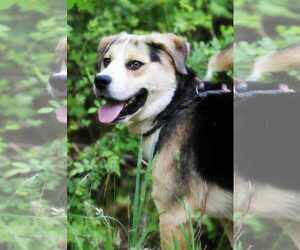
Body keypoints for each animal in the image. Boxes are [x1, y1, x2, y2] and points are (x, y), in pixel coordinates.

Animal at [94, 32, 234, 249]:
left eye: (135, 64)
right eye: (107, 61)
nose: (99, 80)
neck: (175, 105)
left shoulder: (173, 217)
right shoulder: (230, 217)